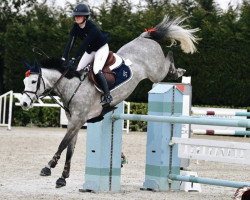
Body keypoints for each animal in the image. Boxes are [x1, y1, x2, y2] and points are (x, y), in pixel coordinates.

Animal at [20, 16, 199, 188]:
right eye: (24, 81)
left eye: (34, 81)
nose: (24, 104)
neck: (71, 87)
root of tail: (143, 37)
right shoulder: (74, 122)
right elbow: (70, 149)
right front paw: (63, 178)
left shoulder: (78, 121)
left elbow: (63, 144)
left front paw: (48, 167)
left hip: (155, 73)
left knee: (167, 60)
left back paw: (177, 71)